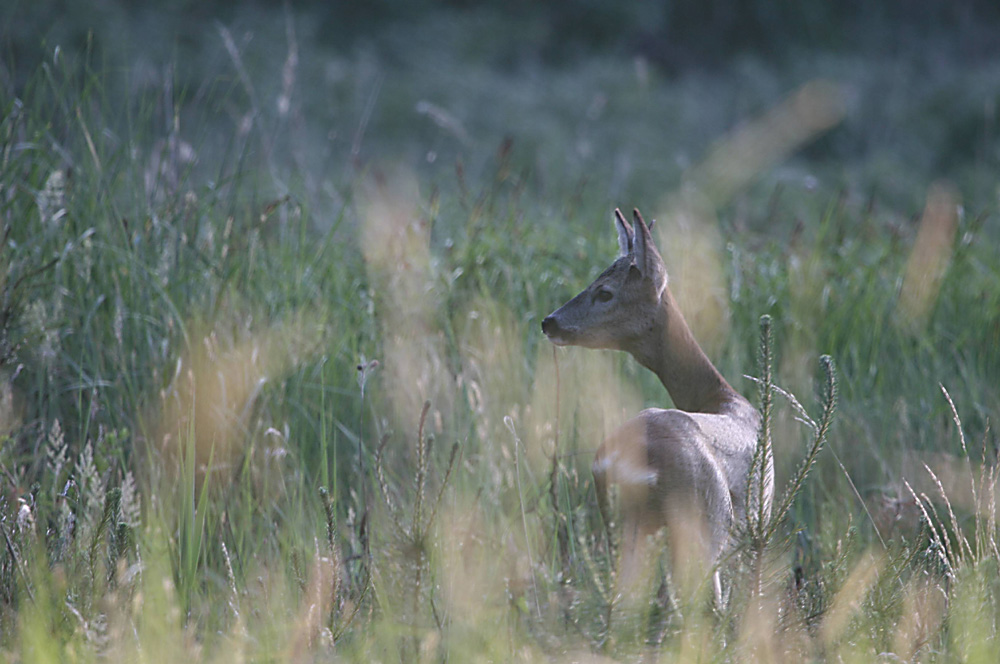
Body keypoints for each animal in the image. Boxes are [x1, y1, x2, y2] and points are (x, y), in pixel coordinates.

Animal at [544, 209, 768, 608]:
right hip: (704, 519)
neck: (725, 400)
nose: (549, 321)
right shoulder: (763, 516)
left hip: (625, 523)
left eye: (604, 291)